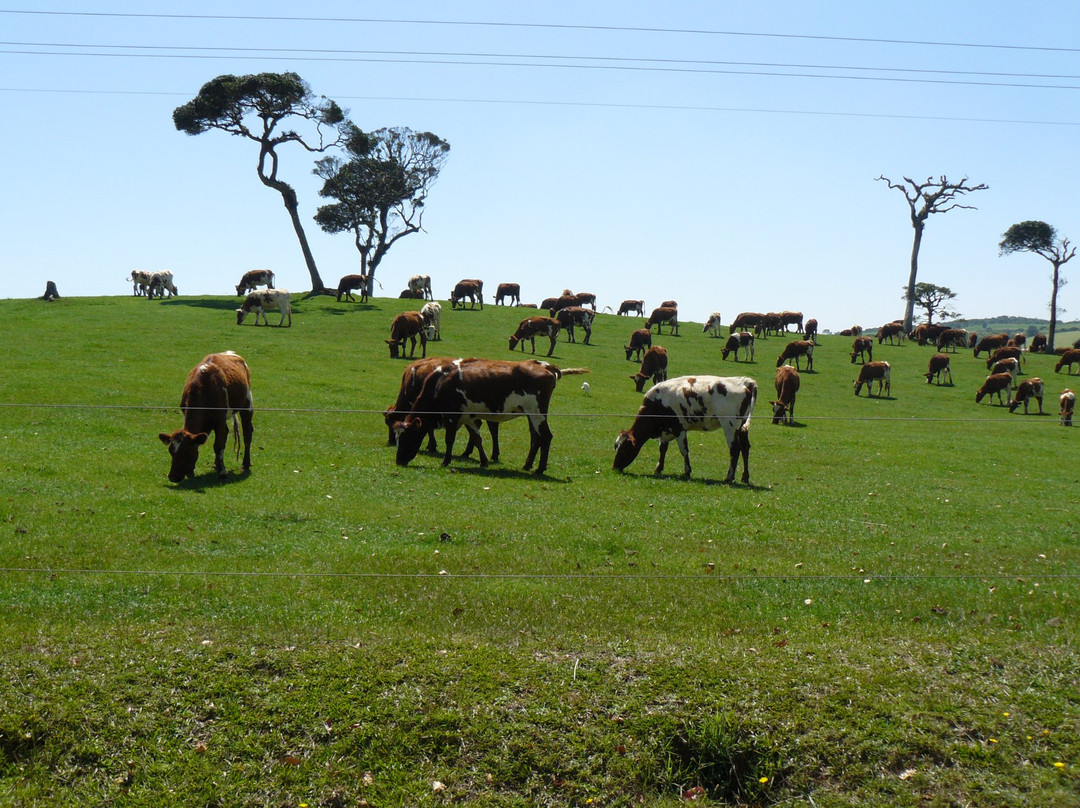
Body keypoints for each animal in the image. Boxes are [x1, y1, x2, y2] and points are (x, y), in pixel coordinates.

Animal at [395, 354, 565, 473]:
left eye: (406, 437)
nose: (398, 461)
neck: (440, 384)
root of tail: (547, 368)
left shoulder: (451, 417)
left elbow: (450, 440)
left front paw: (445, 461)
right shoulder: (468, 418)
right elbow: (477, 439)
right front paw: (484, 461)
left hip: (536, 413)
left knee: (546, 436)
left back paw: (540, 469)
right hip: (532, 415)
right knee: (536, 437)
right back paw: (527, 465)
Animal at [613, 375, 756, 483]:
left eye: (624, 449)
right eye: (616, 447)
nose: (614, 467)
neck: (657, 403)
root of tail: (745, 382)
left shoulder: (679, 429)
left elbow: (684, 451)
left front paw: (687, 472)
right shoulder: (665, 431)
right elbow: (662, 449)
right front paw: (658, 469)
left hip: (730, 425)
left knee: (735, 449)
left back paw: (729, 477)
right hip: (742, 427)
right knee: (745, 448)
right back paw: (745, 477)